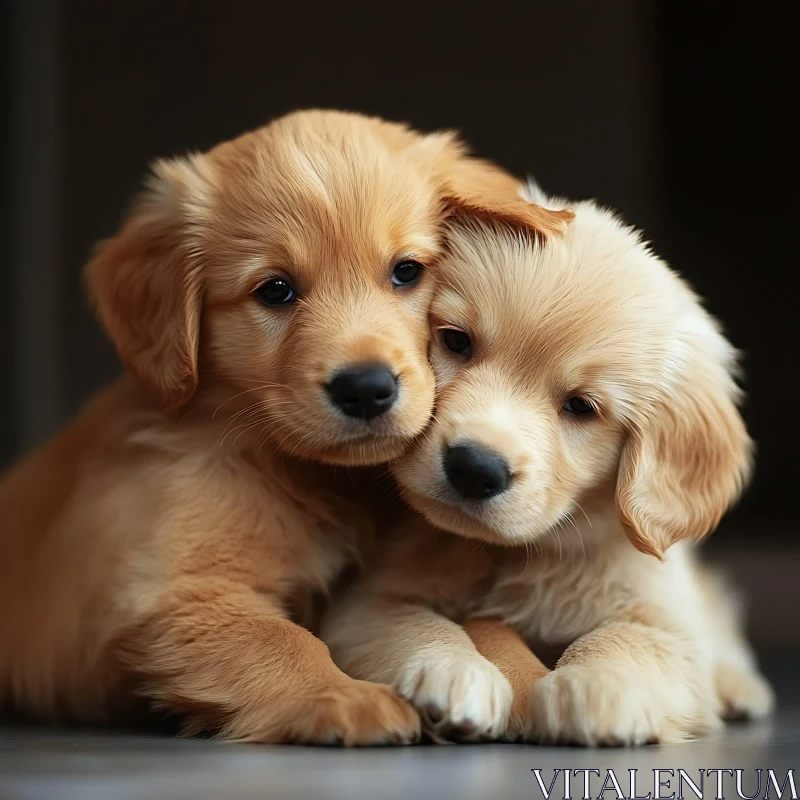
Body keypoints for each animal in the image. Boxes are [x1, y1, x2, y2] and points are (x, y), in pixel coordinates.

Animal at [0, 112, 572, 744]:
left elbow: (492, 623)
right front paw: (344, 697)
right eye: (275, 289)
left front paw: (531, 681)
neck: (330, 482)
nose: (366, 388)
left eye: (406, 271)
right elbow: (280, 639)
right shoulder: (175, 586)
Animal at [320, 186, 776, 744]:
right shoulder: (365, 602)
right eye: (455, 340)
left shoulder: (665, 619)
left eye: (582, 406)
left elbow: (628, 640)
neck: (518, 554)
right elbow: (410, 624)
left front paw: (595, 687)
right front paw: (453, 672)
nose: (475, 467)